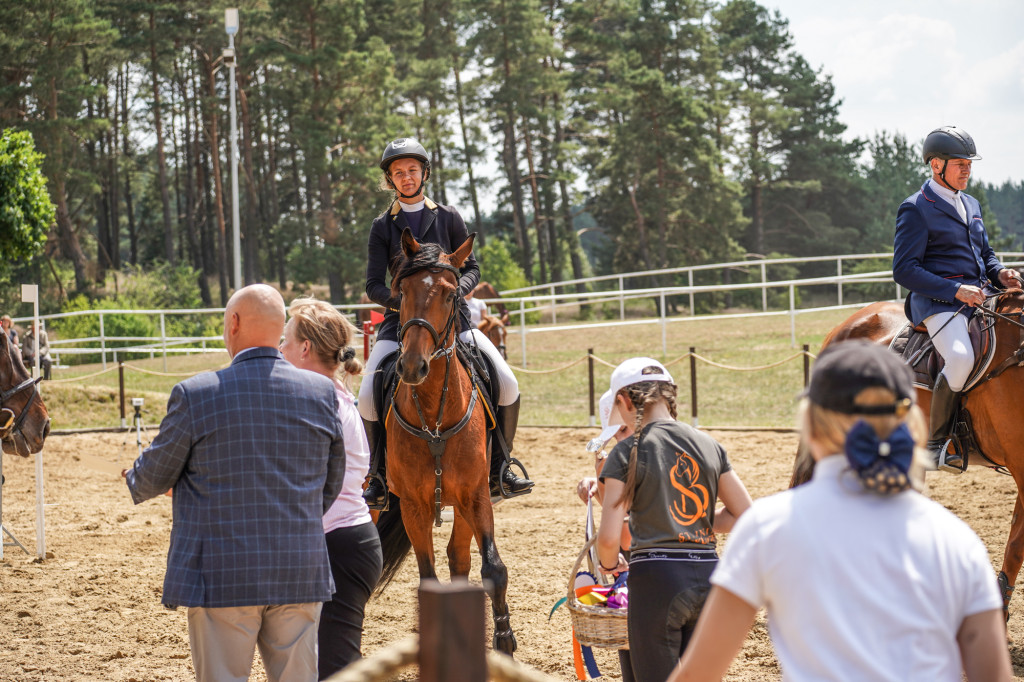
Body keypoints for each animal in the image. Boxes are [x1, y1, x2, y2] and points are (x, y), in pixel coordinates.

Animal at [374, 228, 516, 655]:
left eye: (451, 295)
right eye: (401, 292)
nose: (412, 366)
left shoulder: (476, 494)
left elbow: (493, 569)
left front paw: (504, 641)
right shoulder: (413, 506)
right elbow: (427, 578)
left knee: (459, 558)